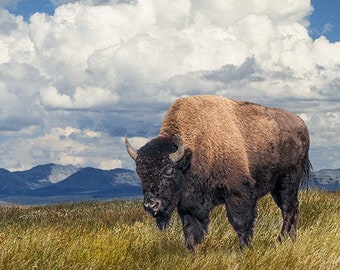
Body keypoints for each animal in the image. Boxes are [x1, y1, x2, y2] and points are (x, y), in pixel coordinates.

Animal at [125, 95, 310, 251]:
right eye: (140, 173)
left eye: (169, 170)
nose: (151, 205)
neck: (191, 153)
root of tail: (302, 125)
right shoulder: (188, 205)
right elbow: (190, 231)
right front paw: (192, 253)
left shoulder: (238, 194)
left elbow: (241, 223)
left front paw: (244, 249)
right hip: (277, 187)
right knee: (292, 209)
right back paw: (290, 239)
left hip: (288, 181)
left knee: (289, 209)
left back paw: (281, 240)